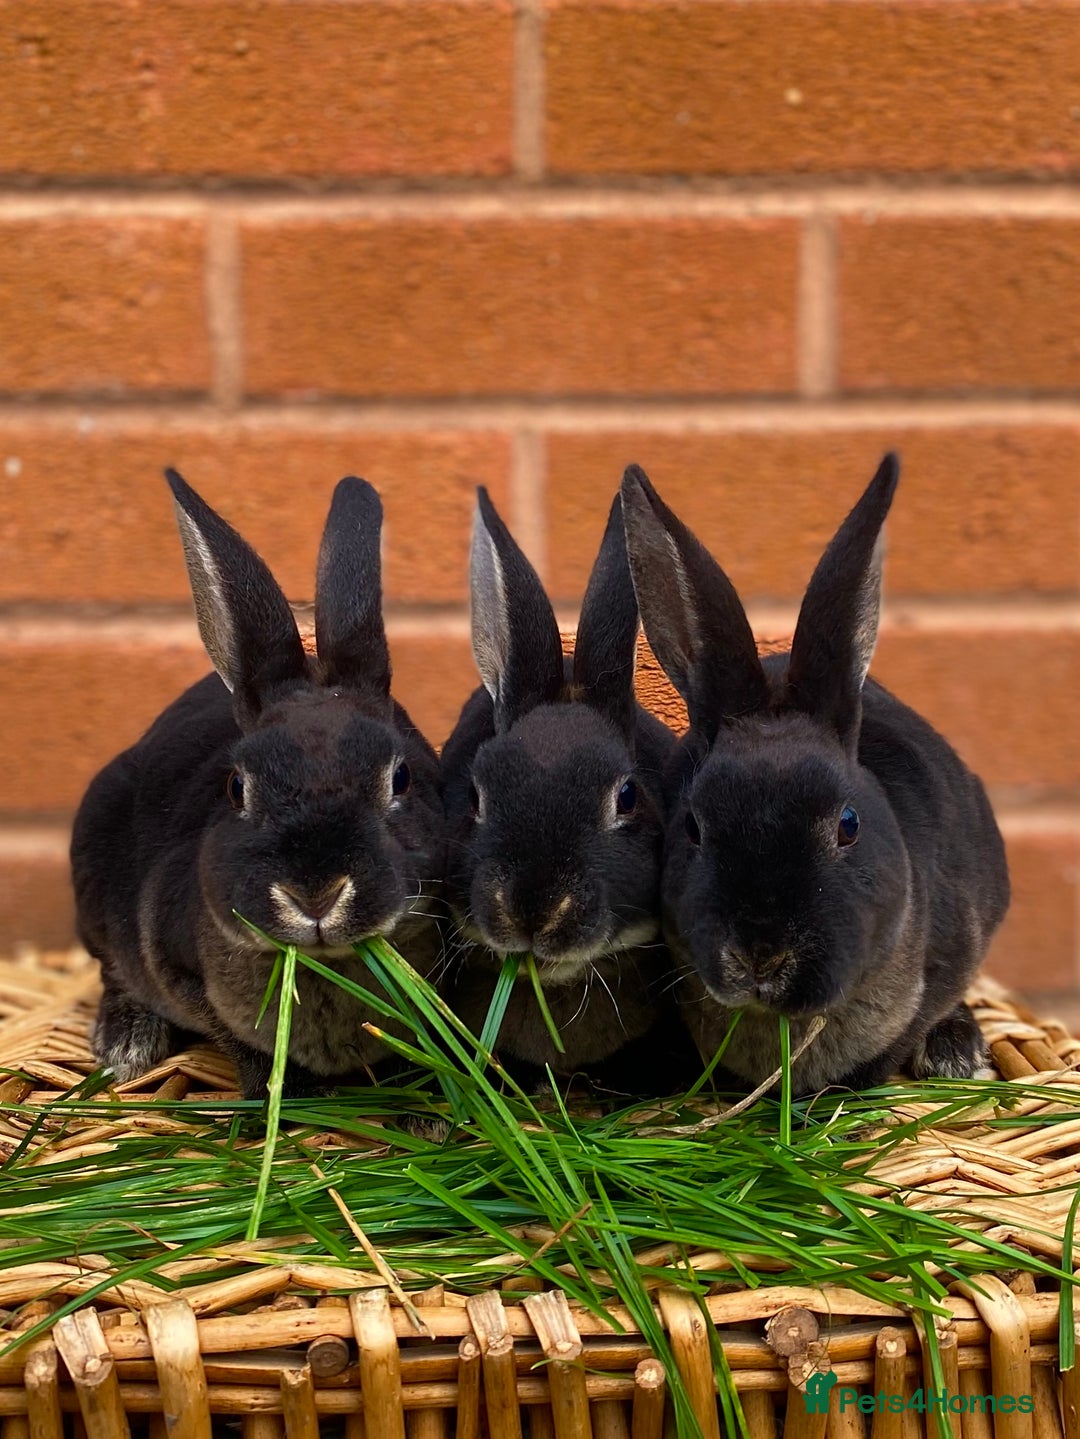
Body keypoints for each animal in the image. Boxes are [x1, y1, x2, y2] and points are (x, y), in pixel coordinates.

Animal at [71, 470, 446, 1099]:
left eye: (402, 777)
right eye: (235, 788)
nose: (315, 894)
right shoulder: (182, 972)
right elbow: (241, 1042)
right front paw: (286, 1102)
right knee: (113, 971)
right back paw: (127, 1047)